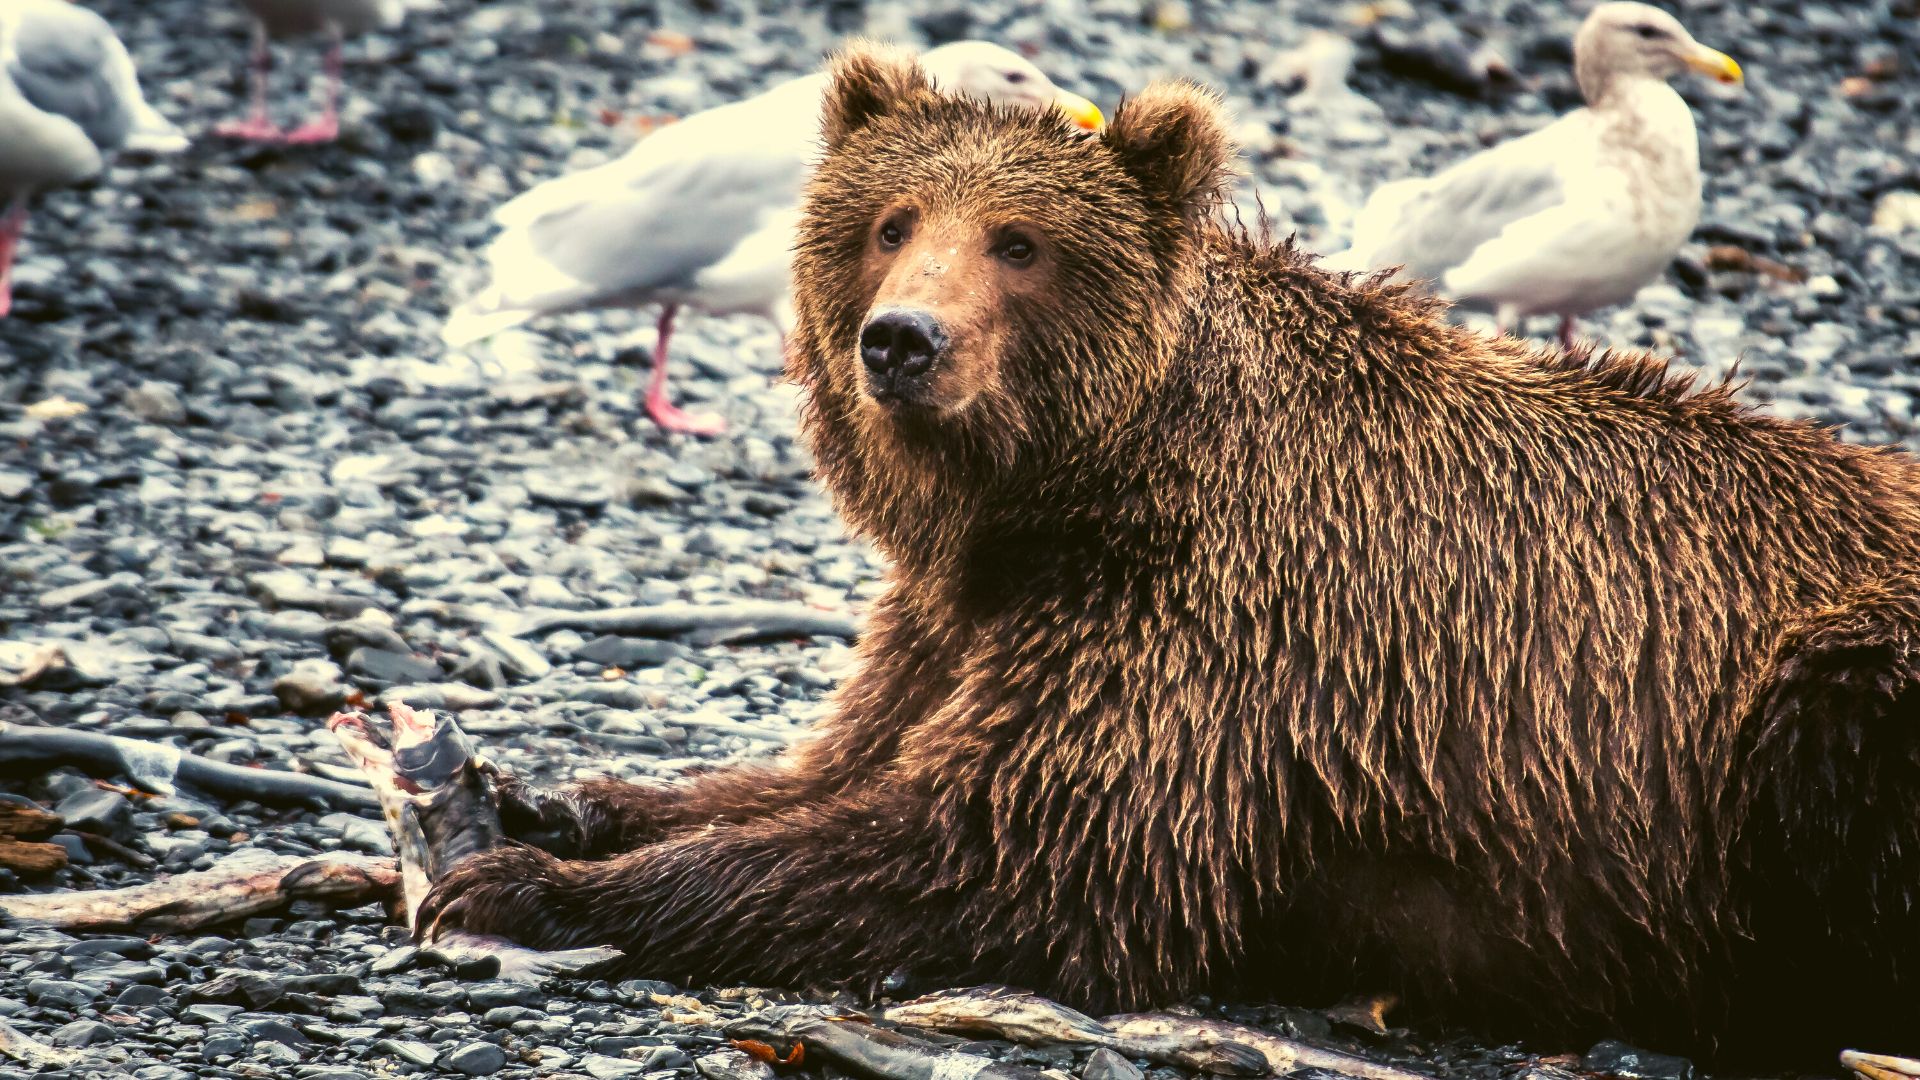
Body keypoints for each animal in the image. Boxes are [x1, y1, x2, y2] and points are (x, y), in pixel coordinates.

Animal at [424, 42, 1920, 1060]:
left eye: (1019, 242)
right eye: (890, 221)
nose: (902, 341)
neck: (1074, 483)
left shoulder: (1210, 628)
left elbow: (997, 847)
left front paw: (514, 886)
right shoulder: (965, 611)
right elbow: (831, 771)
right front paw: (560, 802)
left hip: (1816, 695)